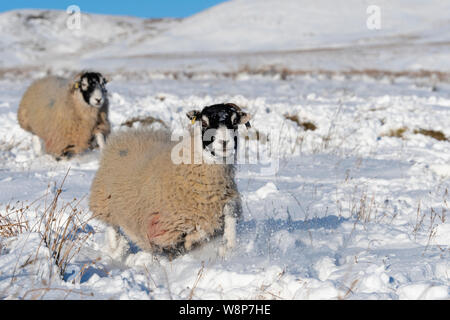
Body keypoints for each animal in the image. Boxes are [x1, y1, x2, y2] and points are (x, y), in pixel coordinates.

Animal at [89, 104, 251, 258]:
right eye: (204, 122)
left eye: (235, 122)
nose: (225, 142)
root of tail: (132, 132)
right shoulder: (165, 227)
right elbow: (198, 231)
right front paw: (193, 242)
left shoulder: (226, 199)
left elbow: (228, 217)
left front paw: (227, 246)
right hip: (105, 201)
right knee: (112, 227)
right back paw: (118, 249)